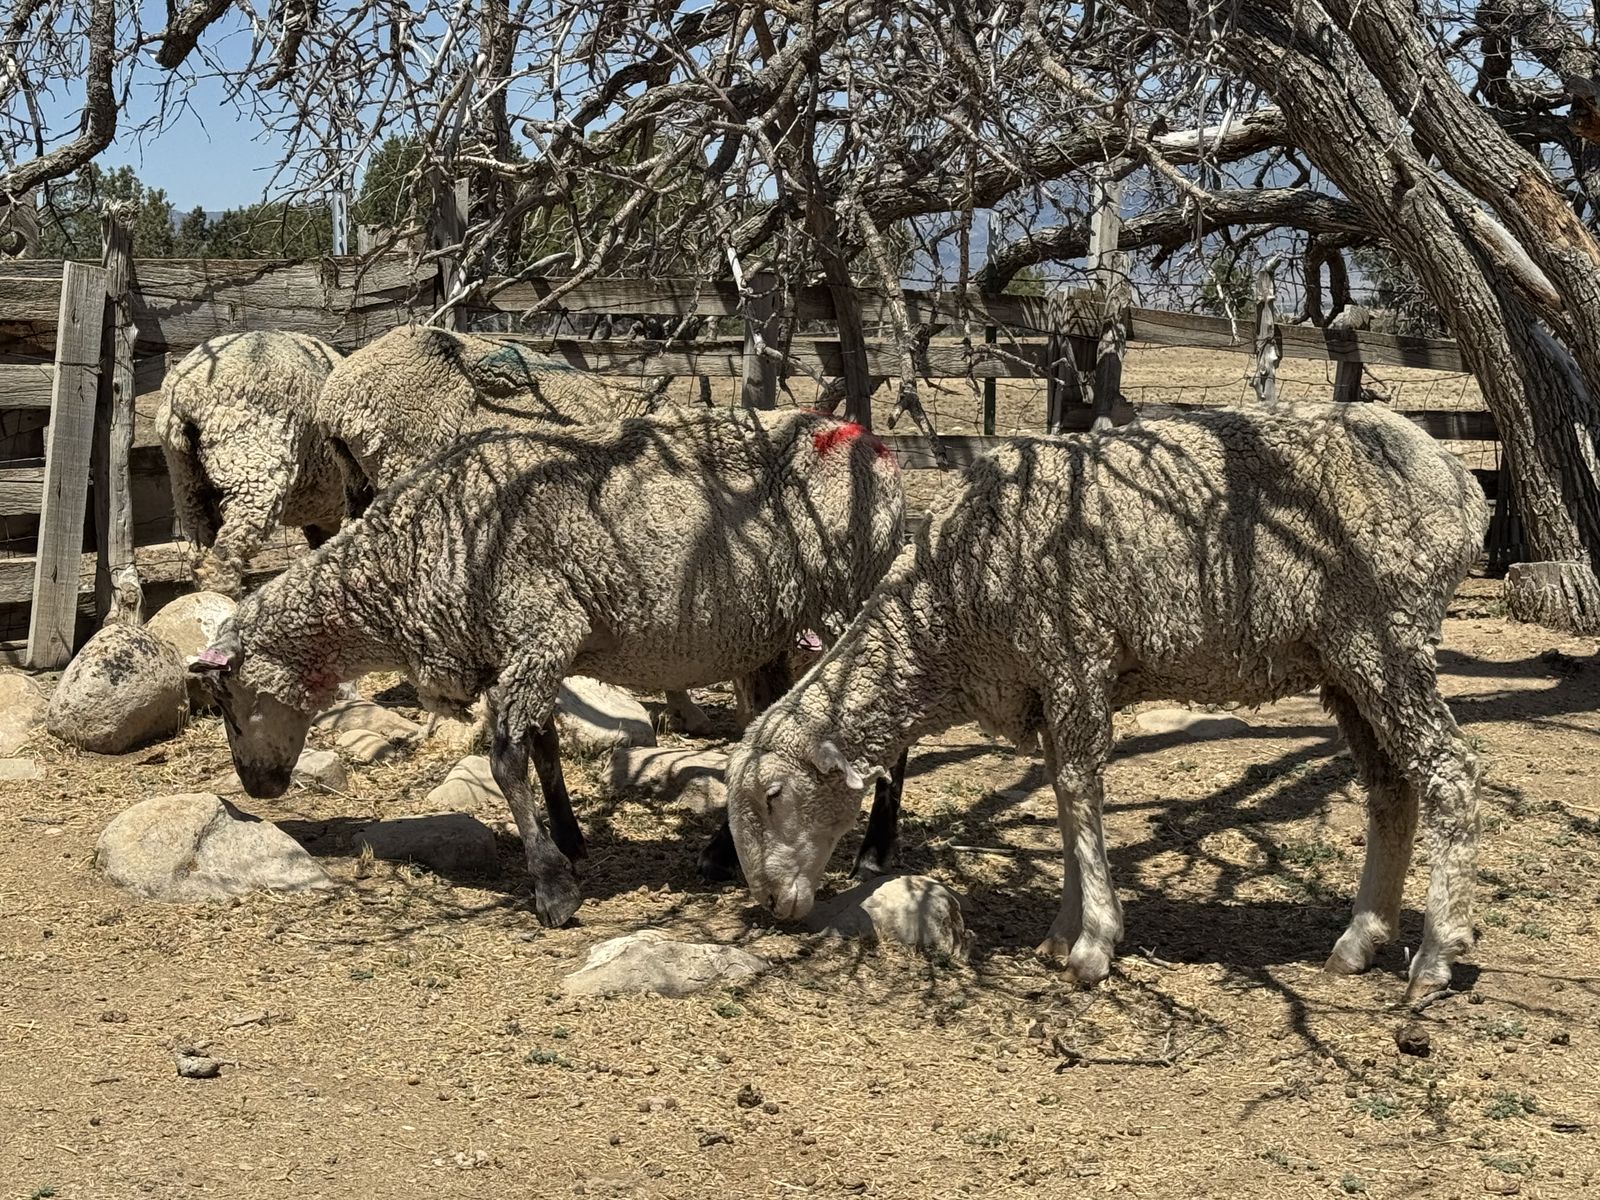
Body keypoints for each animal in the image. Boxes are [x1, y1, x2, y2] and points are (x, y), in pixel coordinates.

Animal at [189, 407, 910, 926]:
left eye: (224, 699)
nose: (255, 787)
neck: (398, 569)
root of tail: (873, 444)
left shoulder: (541, 627)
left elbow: (507, 758)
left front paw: (553, 888)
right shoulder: (520, 645)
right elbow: (543, 747)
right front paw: (567, 839)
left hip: (852, 591)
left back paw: (874, 853)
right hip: (767, 633)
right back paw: (722, 854)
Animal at [724, 401, 1488, 1002]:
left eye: (773, 796)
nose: (769, 903)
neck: (946, 608)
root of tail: (1460, 481)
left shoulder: (1072, 656)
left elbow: (1077, 792)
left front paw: (1094, 944)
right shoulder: (1045, 682)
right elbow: (1065, 799)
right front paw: (1064, 933)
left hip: (1385, 634)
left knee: (1448, 772)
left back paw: (1434, 957)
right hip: (1344, 663)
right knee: (1392, 787)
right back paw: (1360, 940)